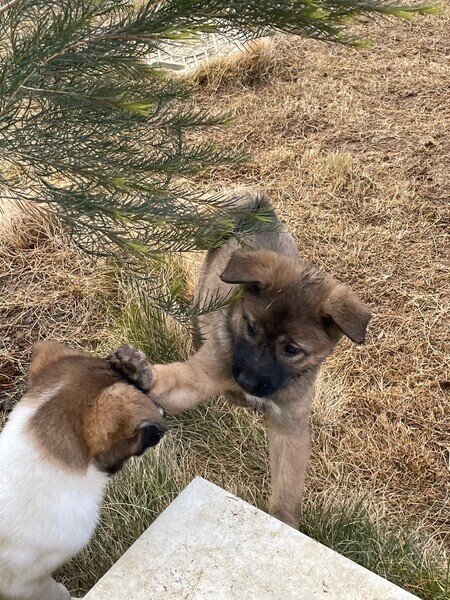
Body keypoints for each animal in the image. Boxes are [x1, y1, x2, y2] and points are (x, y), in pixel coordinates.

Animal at [123, 194, 371, 528]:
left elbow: (287, 486)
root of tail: (258, 208)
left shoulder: (290, 426)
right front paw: (142, 372)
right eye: (251, 328)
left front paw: (283, 523)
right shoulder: (202, 377)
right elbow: (176, 379)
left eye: (291, 349)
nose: (246, 382)